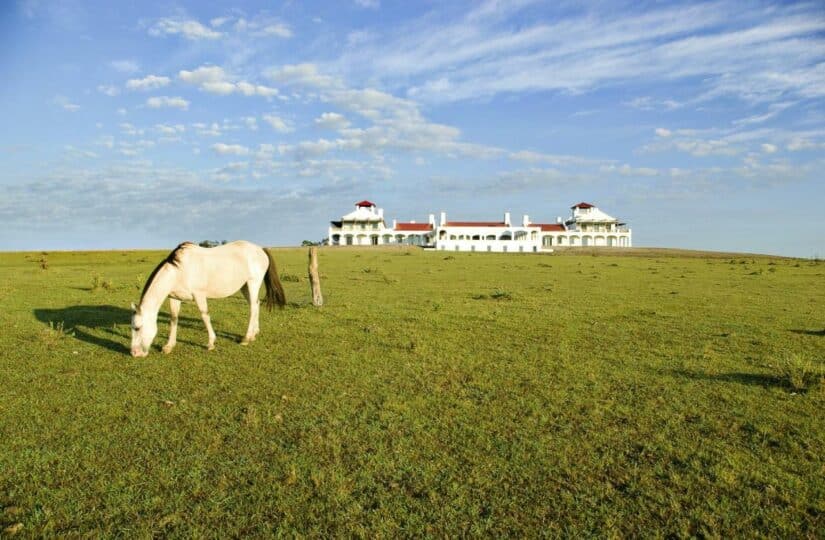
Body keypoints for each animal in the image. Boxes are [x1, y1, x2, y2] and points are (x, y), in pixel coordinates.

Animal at [127, 243, 284, 356]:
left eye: (137, 327)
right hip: (244, 286)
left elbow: (205, 316)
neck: (180, 271)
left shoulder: (199, 295)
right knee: (256, 304)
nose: (134, 353)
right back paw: (254, 333)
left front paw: (211, 343)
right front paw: (169, 346)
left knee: (252, 308)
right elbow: (174, 319)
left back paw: (246, 338)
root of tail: (261, 249)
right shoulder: (174, 298)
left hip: (253, 283)